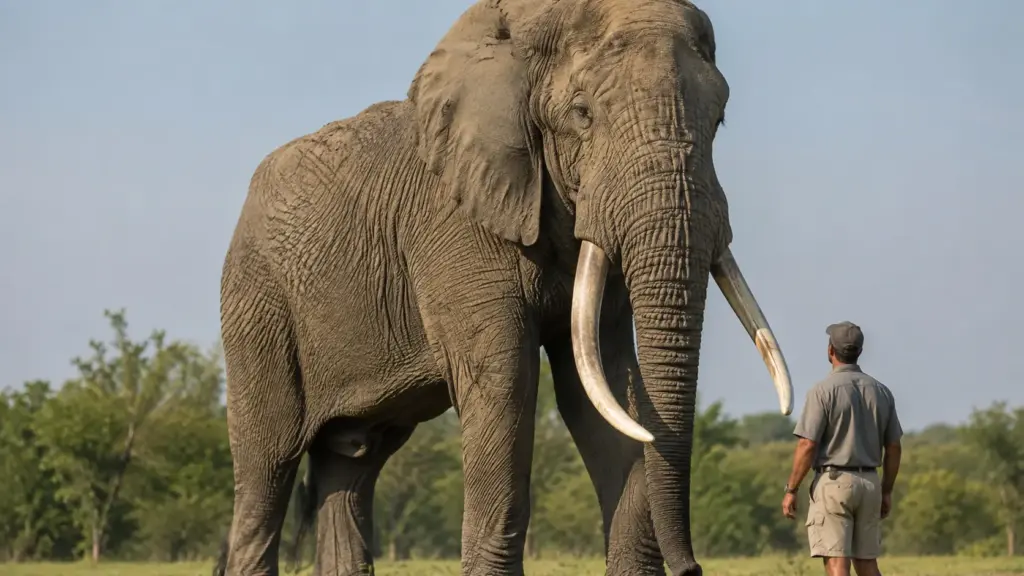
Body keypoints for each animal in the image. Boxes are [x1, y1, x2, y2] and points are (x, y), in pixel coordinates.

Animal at [215, 0, 794, 575]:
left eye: (719, 119)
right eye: (582, 113)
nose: (692, 567)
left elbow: (604, 384)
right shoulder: (455, 226)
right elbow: (506, 380)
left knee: (351, 467)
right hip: (256, 303)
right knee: (268, 467)